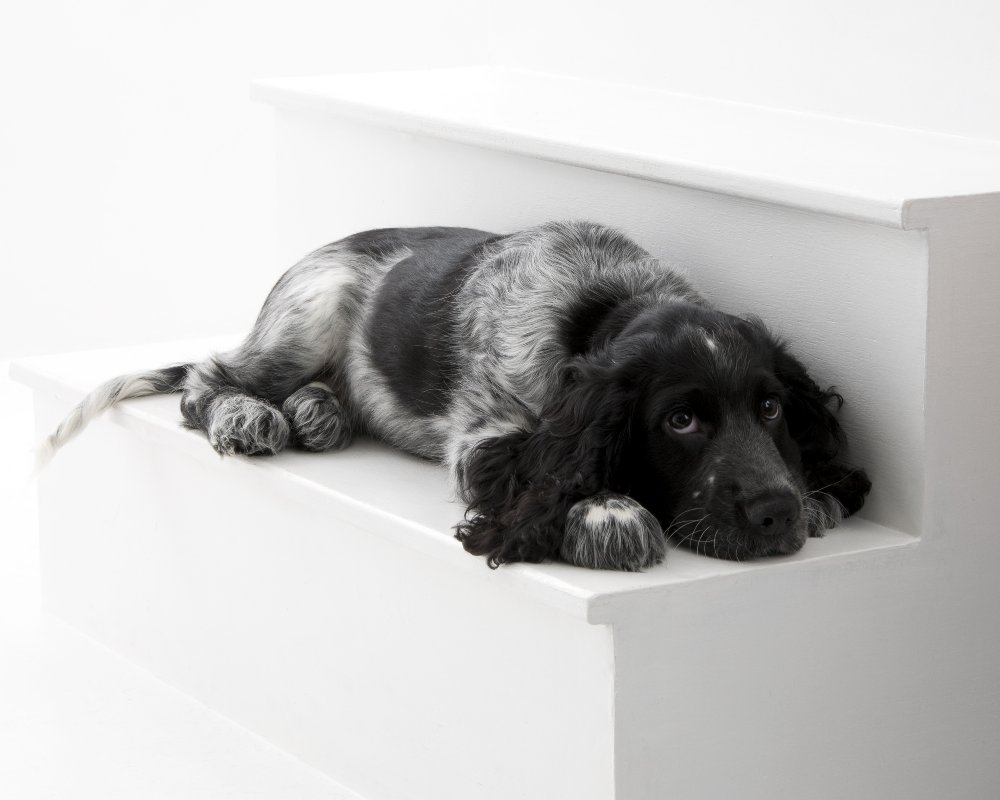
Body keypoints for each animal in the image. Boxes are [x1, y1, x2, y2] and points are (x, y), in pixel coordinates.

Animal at [39, 220, 868, 568]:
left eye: (770, 408)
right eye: (682, 420)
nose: (776, 511)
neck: (605, 304)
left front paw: (817, 497)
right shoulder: (484, 440)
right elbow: (554, 474)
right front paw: (610, 516)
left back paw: (318, 411)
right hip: (307, 312)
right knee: (205, 382)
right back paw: (251, 413)